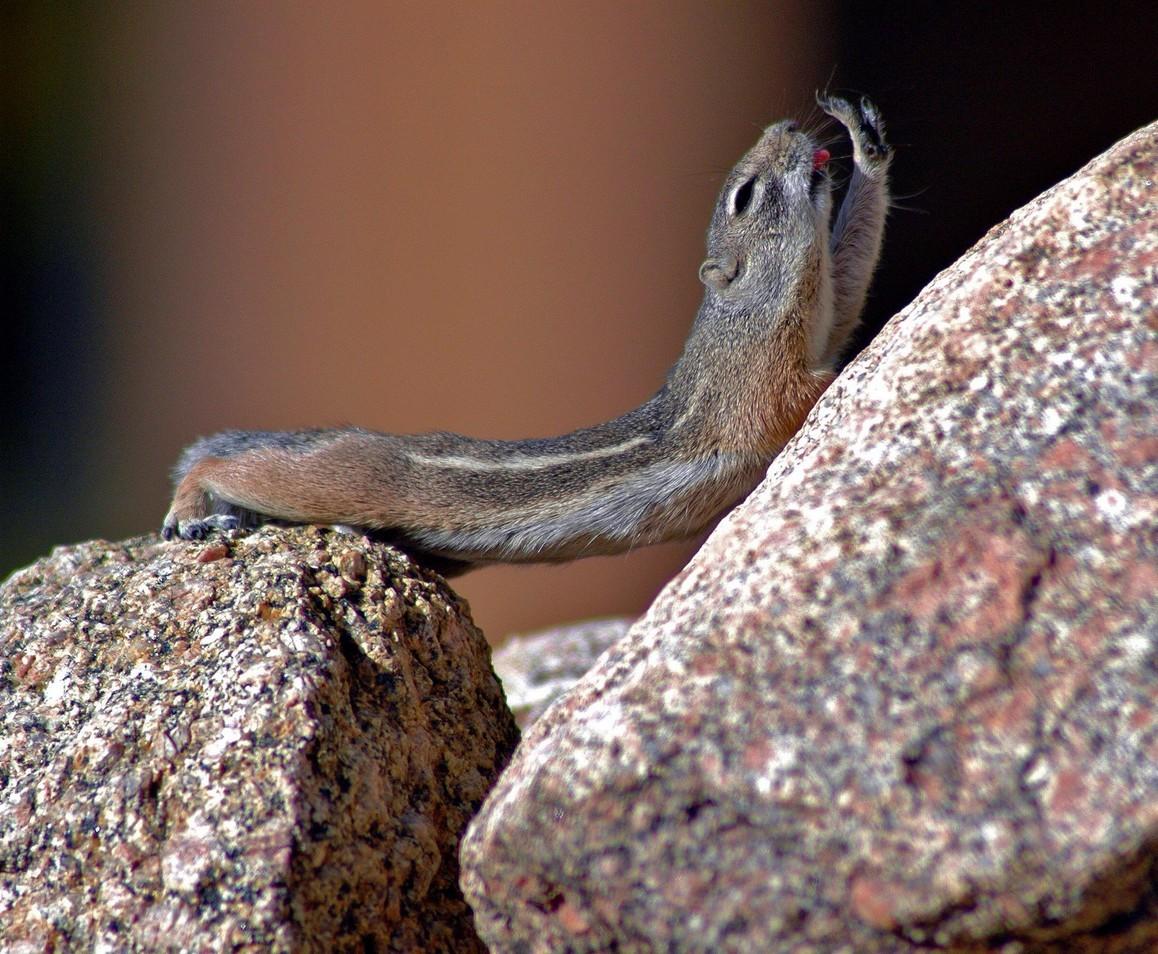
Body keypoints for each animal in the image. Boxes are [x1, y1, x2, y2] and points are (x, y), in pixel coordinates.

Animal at [163, 96, 889, 576]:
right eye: (745, 196)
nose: (787, 125)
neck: (753, 314)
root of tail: (353, 437)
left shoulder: (828, 313)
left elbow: (853, 284)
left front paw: (868, 144)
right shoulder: (758, 385)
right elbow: (802, 395)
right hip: (345, 481)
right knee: (235, 469)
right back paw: (193, 508)